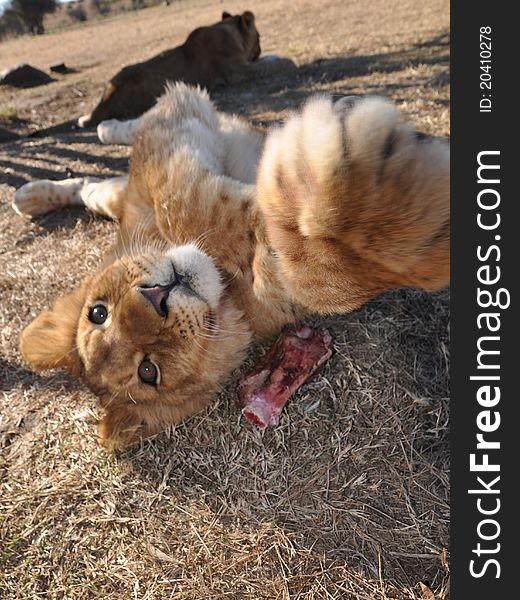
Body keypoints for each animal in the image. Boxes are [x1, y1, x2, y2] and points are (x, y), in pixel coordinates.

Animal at [14, 83, 448, 450]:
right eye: (148, 371)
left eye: (98, 313)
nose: (157, 296)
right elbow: (316, 279)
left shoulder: (167, 151)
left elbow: (188, 205)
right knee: (92, 185)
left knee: (108, 166)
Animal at [78, 9, 294, 129]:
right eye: (259, 37)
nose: (260, 50)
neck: (228, 30)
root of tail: (102, 105)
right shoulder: (237, 72)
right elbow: (268, 65)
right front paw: (289, 61)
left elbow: (267, 61)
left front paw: (275, 55)